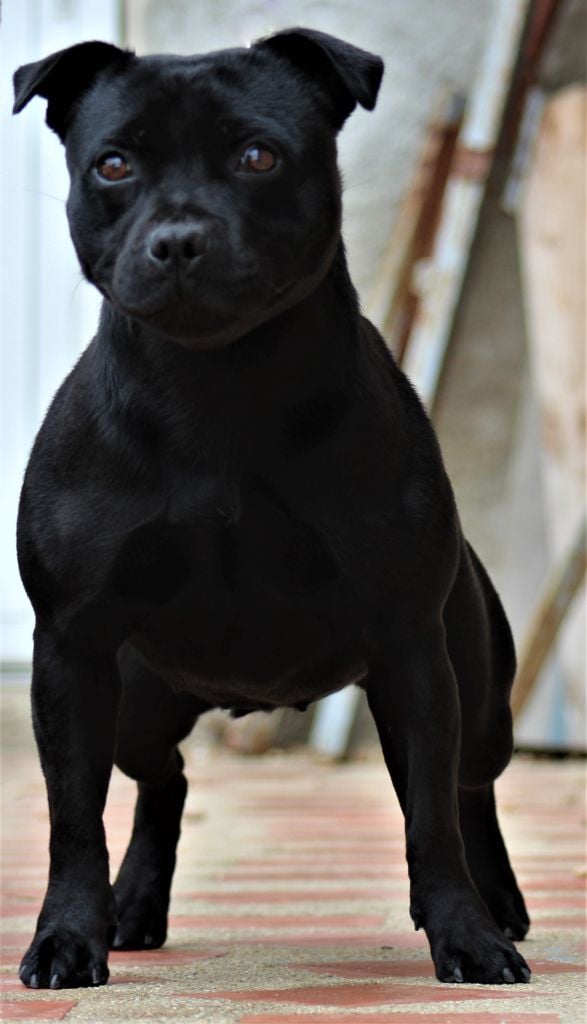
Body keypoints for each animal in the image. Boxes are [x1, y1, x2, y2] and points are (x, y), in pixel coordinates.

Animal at [13, 29, 528, 991]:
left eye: (259, 156)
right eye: (113, 164)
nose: (178, 239)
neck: (215, 387)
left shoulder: (411, 648)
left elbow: (431, 818)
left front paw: (465, 935)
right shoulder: (71, 649)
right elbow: (73, 819)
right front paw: (66, 937)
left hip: (475, 696)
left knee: (466, 786)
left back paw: (502, 905)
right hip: (134, 704)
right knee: (164, 777)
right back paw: (132, 907)